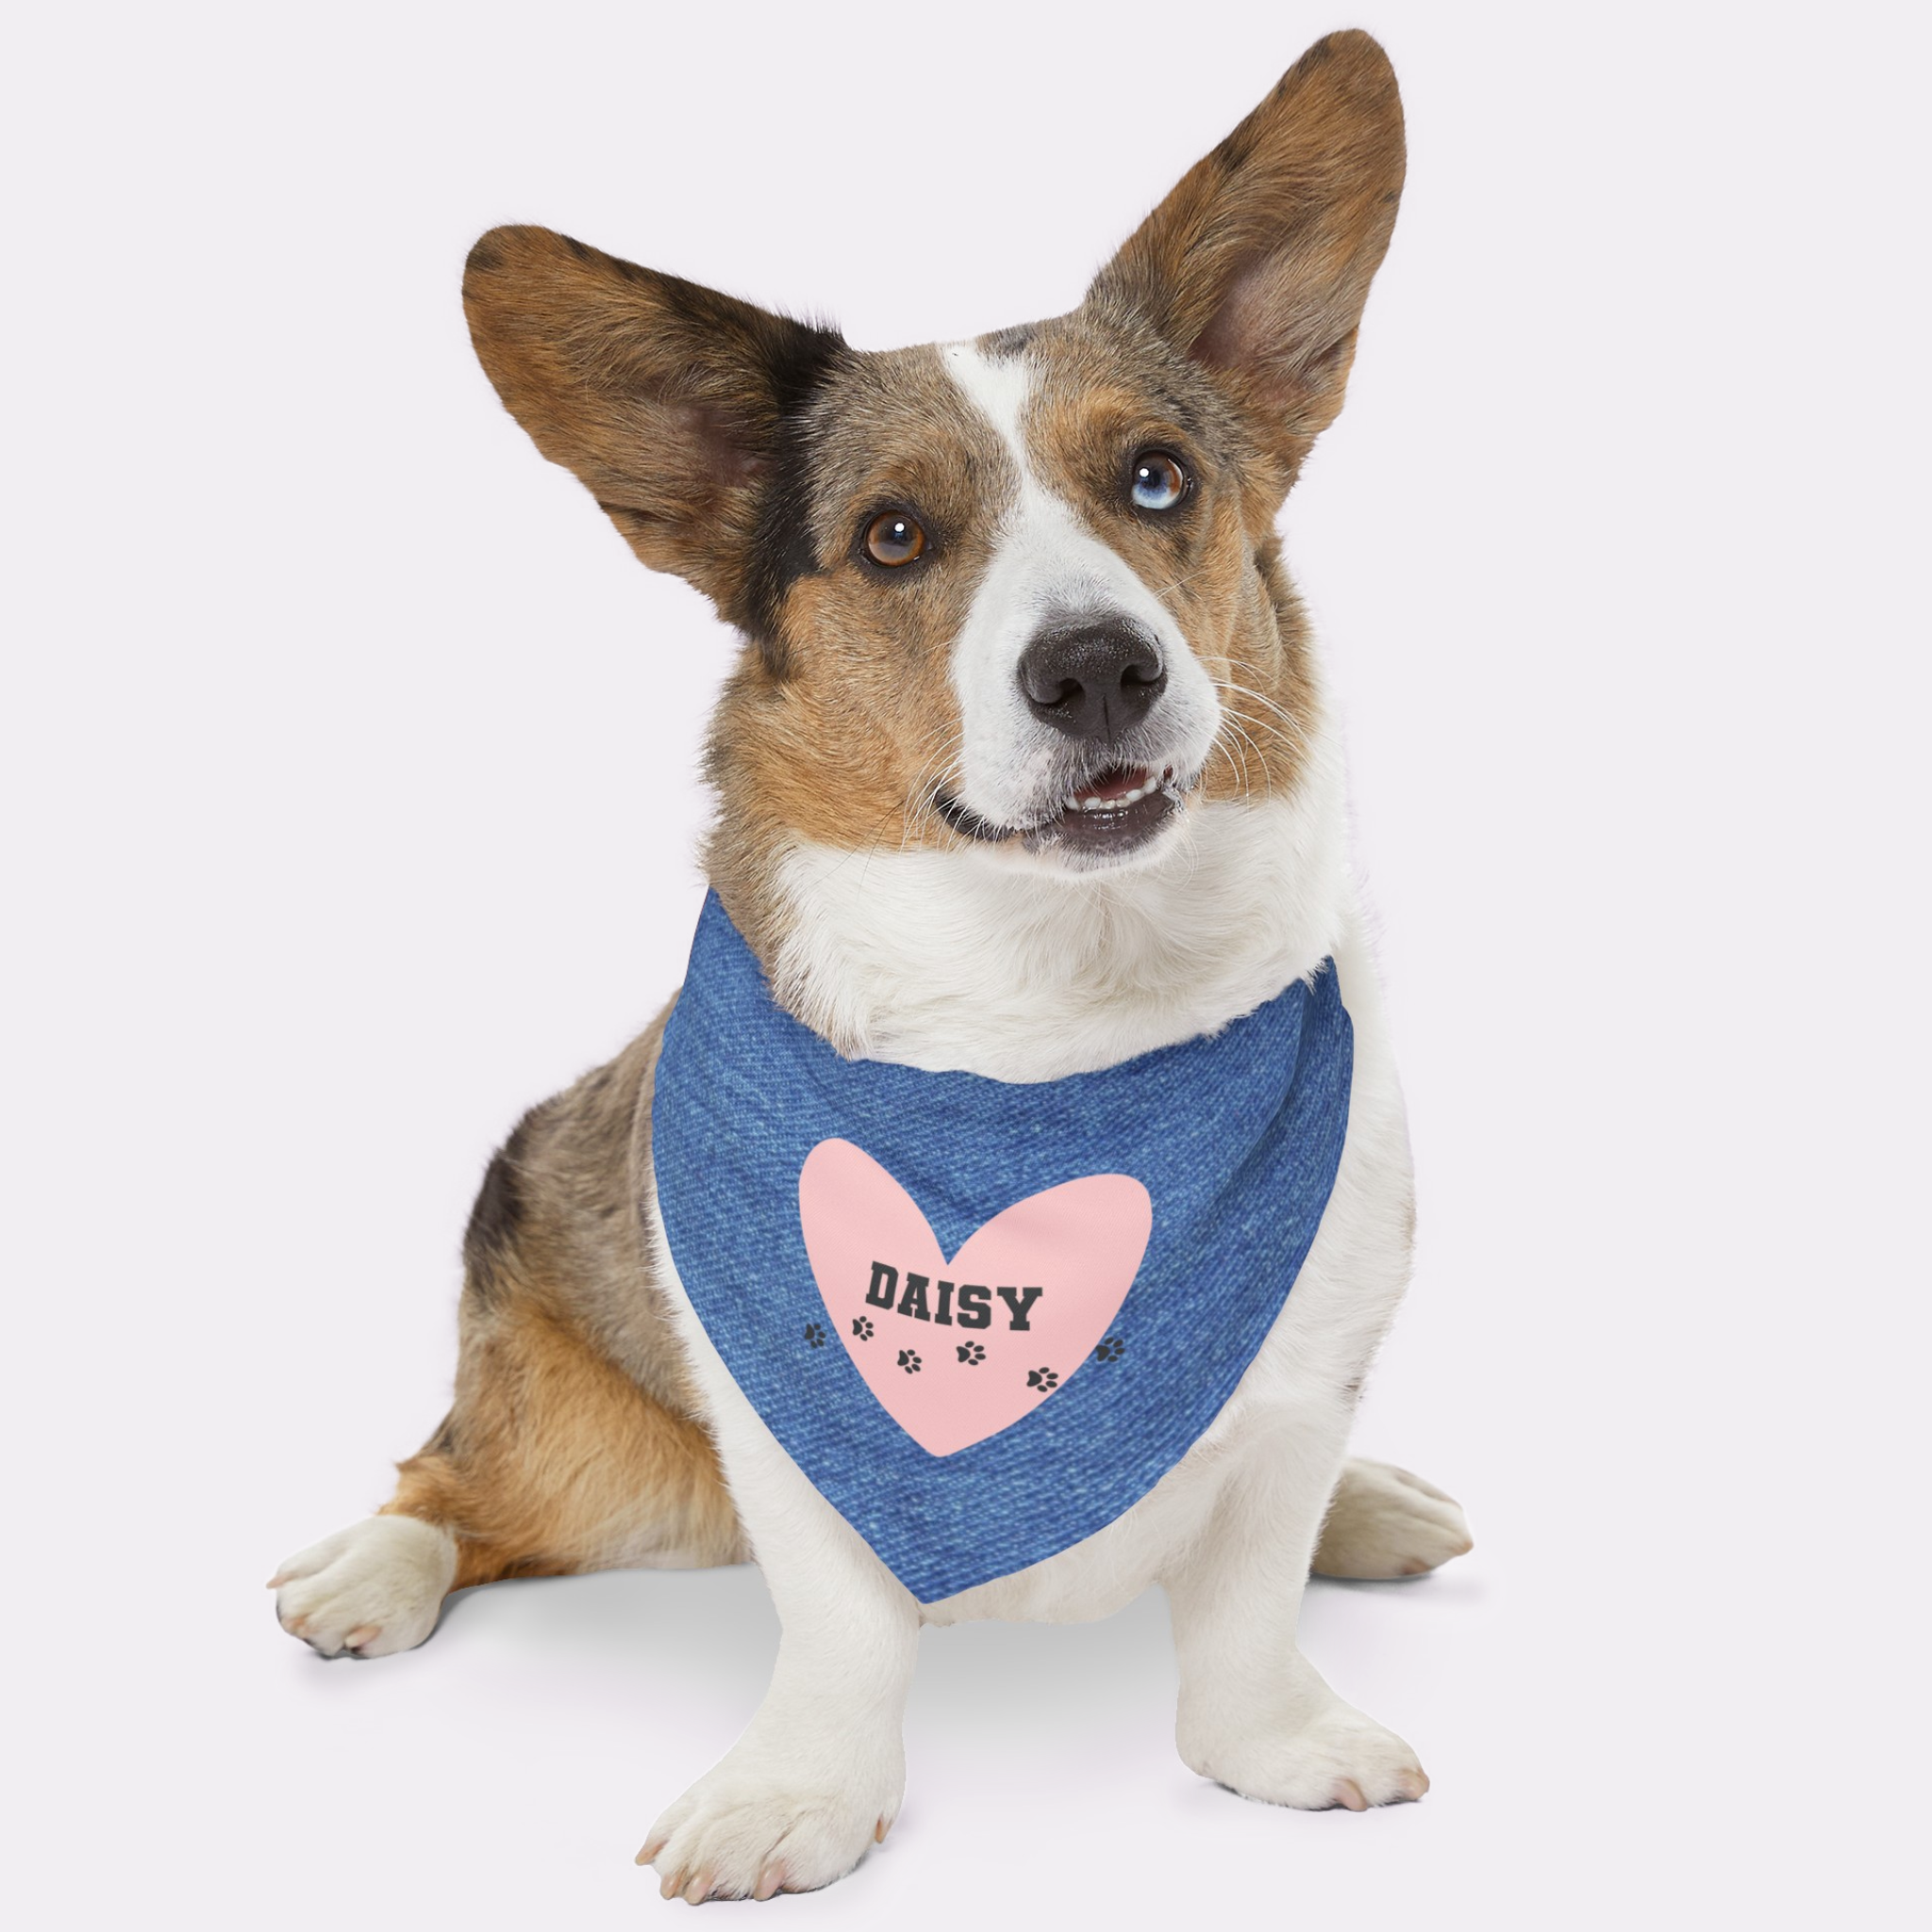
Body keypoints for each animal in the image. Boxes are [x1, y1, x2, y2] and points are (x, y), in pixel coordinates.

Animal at [272, 30, 1468, 1901]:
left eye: (1157, 478)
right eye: (894, 536)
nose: (1099, 670)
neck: (1055, 1036)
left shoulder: (1300, 1379)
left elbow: (1251, 1592)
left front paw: (1273, 1738)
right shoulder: (782, 1423)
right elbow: (836, 1626)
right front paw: (797, 1797)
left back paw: (1374, 1508)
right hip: (594, 1455)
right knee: (455, 1484)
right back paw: (370, 1569)